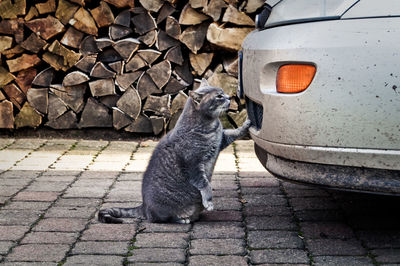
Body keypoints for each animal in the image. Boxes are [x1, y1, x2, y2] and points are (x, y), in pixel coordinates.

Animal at [98, 79, 252, 224]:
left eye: (223, 92)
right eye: (219, 96)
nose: (229, 97)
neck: (211, 126)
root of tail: (144, 206)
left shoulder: (221, 140)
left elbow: (234, 132)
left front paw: (246, 123)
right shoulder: (193, 164)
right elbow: (204, 184)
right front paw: (208, 201)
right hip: (163, 210)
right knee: (160, 219)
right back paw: (183, 219)